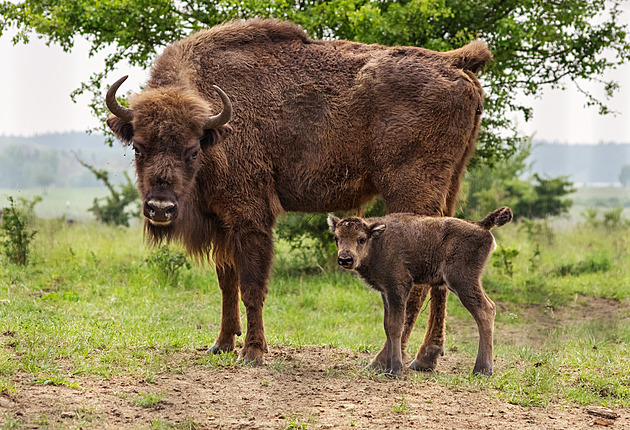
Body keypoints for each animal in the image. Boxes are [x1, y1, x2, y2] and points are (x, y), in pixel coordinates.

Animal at [106, 19, 494, 366]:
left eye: (191, 150)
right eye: (139, 147)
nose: (160, 208)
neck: (216, 126)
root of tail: (454, 62)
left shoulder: (250, 218)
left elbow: (251, 286)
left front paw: (253, 352)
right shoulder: (223, 222)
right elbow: (227, 282)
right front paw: (221, 345)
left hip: (412, 193)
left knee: (416, 284)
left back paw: (385, 360)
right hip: (449, 190)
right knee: (440, 276)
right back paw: (425, 359)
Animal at [328, 207, 516, 374]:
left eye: (361, 239)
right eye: (336, 238)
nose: (345, 259)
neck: (377, 241)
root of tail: (481, 225)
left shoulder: (399, 287)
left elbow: (396, 326)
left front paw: (395, 370)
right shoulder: (386, 292)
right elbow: (387, 326)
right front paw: (388, 368)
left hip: (463, 281)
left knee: (485, 311)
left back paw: (482, 370)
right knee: (490, 307)